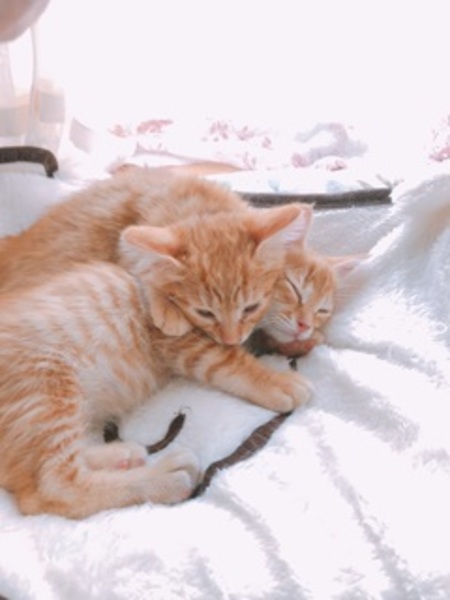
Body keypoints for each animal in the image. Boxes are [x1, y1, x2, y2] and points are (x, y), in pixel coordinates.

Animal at [0, 202, 312, 518]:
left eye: (251, 307)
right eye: (205, 312)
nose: (231, 337)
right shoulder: (173, 339)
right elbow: (223, 362)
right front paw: (277, 381)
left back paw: (119, 454)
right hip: (45, 385)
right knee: (51, 488)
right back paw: (164, 478)